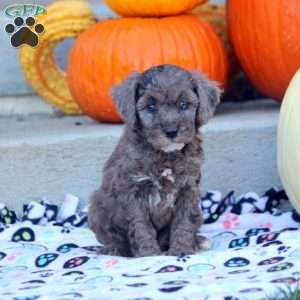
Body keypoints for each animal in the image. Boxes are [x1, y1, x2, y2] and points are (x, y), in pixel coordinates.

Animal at [88, 64, 221, 256]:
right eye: (150, 107)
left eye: (184, 105)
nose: (171, 131)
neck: (166, 155)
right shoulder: (133, 190)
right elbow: (141, 226)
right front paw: (148, 254)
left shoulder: (188, 188)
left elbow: (184, 222)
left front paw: (181, 250)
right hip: (97, 206)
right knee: (113, 237)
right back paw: (114, 249)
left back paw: (198, 241)